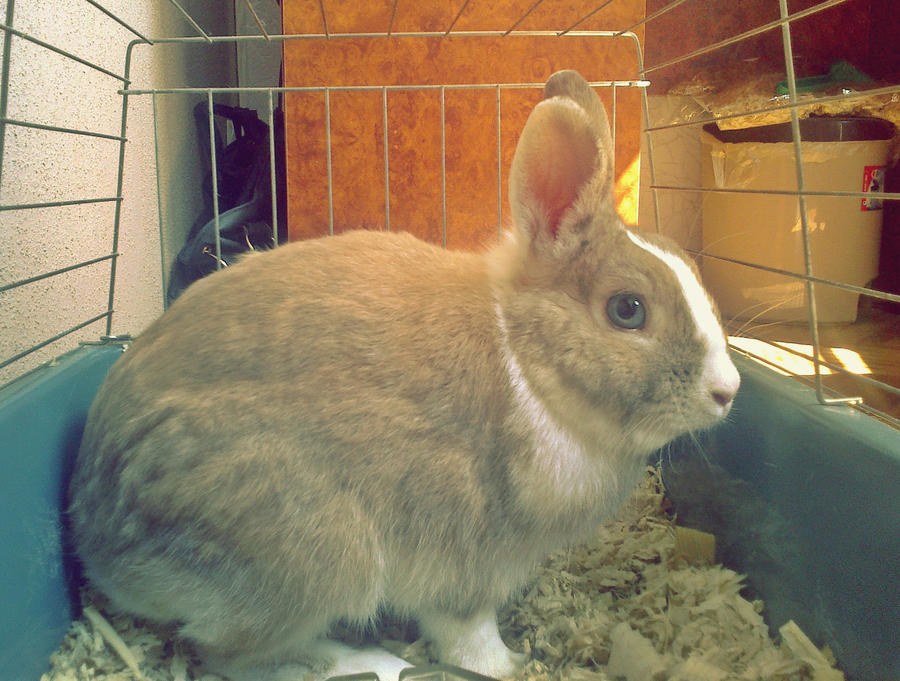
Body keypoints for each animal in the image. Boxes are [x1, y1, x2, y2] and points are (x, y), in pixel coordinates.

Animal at [67, 70, 740, 681]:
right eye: (627, 310)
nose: (727, 392)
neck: (529, 366)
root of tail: (95, 541)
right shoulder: (466, 556)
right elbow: (467, 631)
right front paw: (505, 666)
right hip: (310, 556)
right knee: (231, 657)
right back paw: (370, 662)